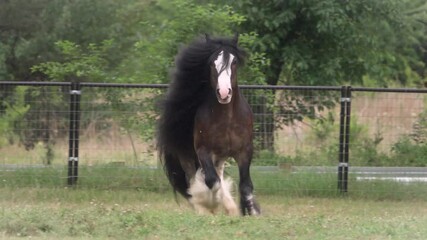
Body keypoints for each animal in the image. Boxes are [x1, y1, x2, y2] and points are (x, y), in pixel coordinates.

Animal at [155, 33, 260, 216]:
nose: (224, 93)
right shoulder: (203, 151)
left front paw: (251, 211)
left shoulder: (244, 151)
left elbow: (246, 185)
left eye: (234, 62)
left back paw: (229, 206)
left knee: (218, 175)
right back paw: (203, 207)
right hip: (188, 157)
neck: (228, 119)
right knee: (193, 179)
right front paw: (209, 203)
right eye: (212, 63)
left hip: (220, 157)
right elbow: (212, 181)